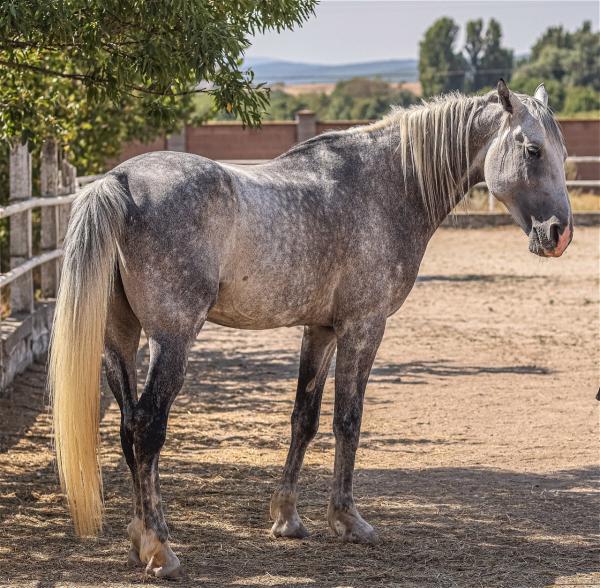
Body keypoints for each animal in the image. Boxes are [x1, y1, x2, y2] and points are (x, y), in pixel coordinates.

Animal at [49, 80, 572, 578]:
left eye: (562, 152)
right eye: (532, 150)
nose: (559, 234)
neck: (386, 186)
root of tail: (118, 182)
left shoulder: (320, 330)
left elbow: (305, 418)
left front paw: (286, 518)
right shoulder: (363, 327)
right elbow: (348, 419)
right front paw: (348, 520)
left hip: (119, 339)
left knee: (126, 427)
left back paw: (138, 536)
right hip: (170, 339)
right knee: (147, 427)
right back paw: (160, 548)